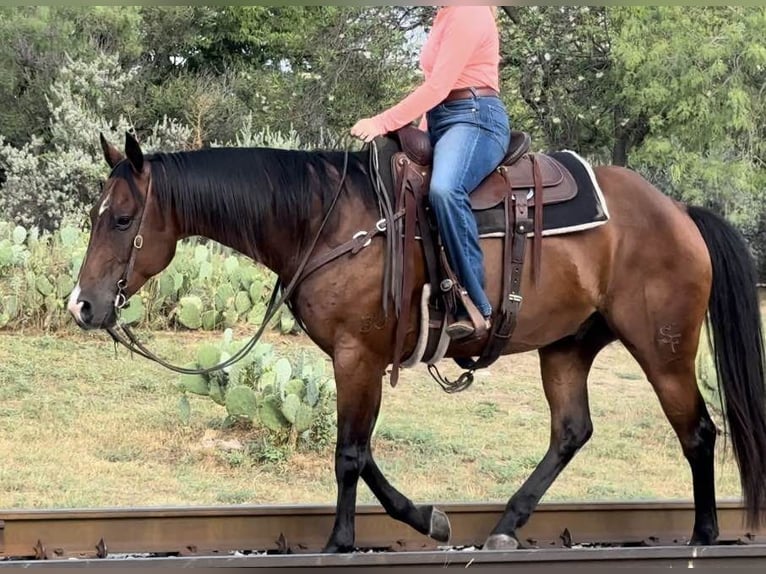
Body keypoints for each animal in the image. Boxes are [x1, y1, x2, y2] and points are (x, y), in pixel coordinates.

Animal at [67, 130, 766, 553]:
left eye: (122, 219)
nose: (83, 305)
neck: (329, 222)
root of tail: (678, 211)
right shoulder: (359, 360)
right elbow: (365, 452)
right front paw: (426, 517)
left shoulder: (356, 355)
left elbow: (349, 454)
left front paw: (339, 543)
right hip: (568, 346)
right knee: (571, 431)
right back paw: (506, 525)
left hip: (663, 349)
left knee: (698, 432)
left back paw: (704, 535)